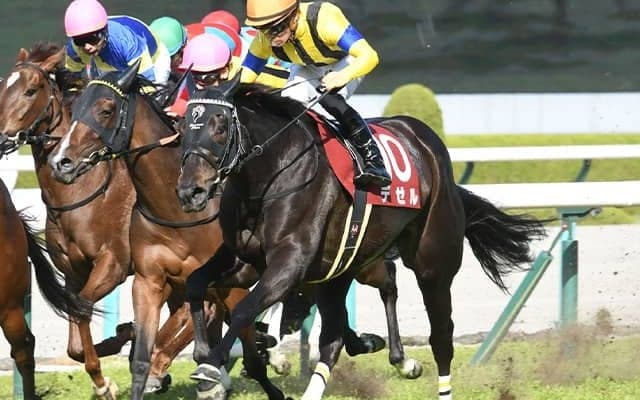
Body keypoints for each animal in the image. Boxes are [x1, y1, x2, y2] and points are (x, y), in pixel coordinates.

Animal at [47, 61, 288, 400]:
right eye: (76, 107)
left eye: (106, 110)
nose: (61, 161)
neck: (174, 210)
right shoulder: (149, 280)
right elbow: (142, 358)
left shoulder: (227, 285)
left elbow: (244, 348)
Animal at [169, 76, 548, 400]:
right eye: (183, 127)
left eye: (220, 126)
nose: (190, 191)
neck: (271, 176)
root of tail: (426, 141)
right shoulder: (244, 259)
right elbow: (197, 283)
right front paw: (205, 354)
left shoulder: (289, 263)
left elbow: (245, 308)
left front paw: (210, 367)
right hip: (340, 269)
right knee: (334, 338)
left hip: (433, 263)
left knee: (441, 336)